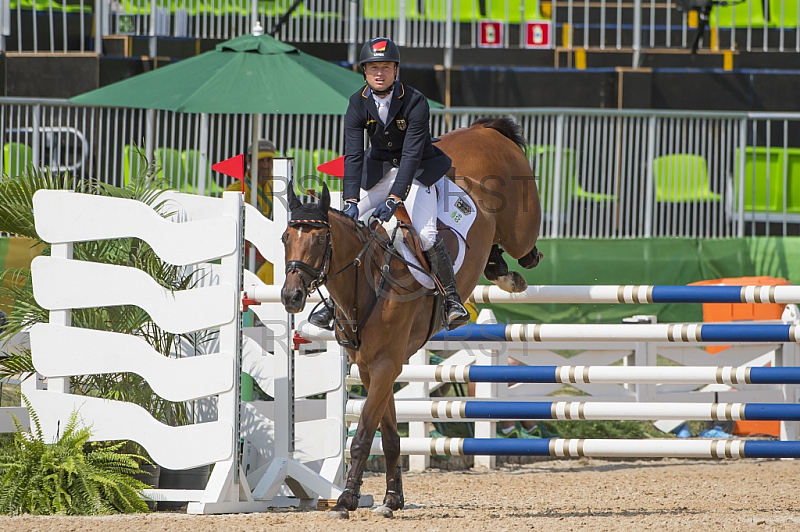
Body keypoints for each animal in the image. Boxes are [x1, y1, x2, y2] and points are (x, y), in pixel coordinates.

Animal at [278, 115, 540, 516]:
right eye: (284, 239)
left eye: (320, 241)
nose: (291, 297)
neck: (367, 284)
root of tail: (483, 130)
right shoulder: (370, 368)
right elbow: (386, 433)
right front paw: (391, 499)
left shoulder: (386, 364)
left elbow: (363, 434)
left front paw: (347, 499)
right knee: (495, 248)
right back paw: (497, 268)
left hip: (520, 227)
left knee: (525, 248)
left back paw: (510, 275)